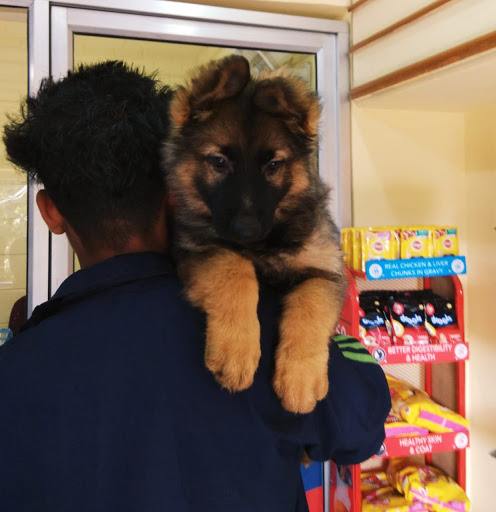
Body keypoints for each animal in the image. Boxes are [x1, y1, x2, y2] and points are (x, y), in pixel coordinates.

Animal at [163, 55, 347, 413]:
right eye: (219, 162)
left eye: (273, 165)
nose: (244, 229)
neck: (265, 245)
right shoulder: (197, 249)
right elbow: (236, 268)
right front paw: (237, 350)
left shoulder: (325, 272)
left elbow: (311, 307)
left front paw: (301, 378)